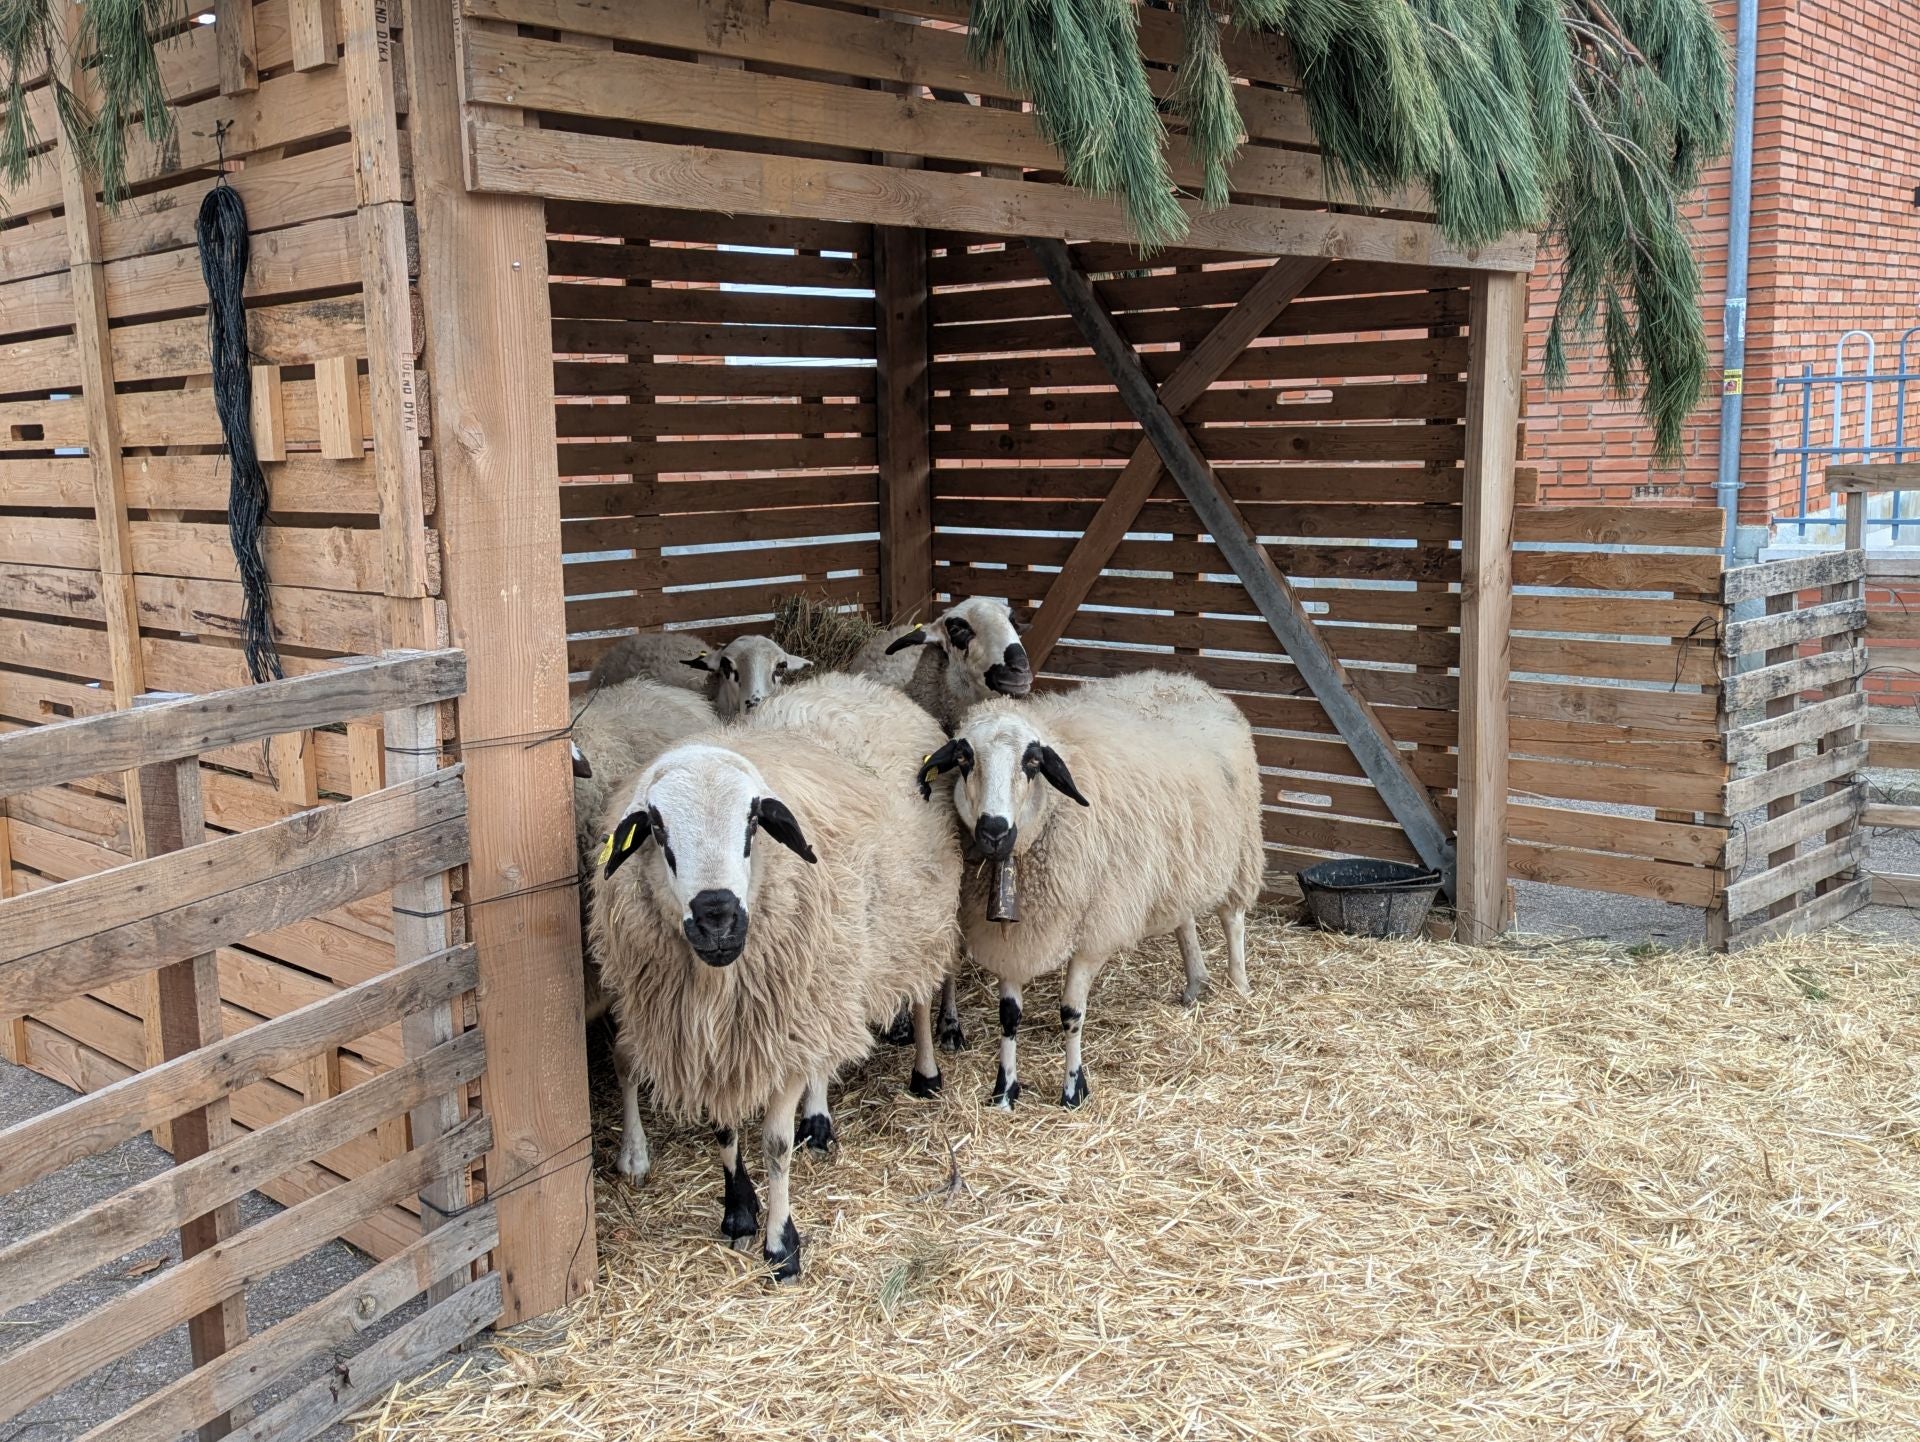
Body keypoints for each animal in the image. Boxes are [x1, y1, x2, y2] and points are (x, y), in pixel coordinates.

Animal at [587, 672, 960, 1282]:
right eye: (658, 829)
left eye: (753, 821)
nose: (717, 917)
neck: (717, 989)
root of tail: (854, 681)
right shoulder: (726, 1037)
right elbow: (725, 1127)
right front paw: (738, 1210)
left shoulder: (779, 1021)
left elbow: (775, 1144)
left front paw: (781, 1245)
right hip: (829, 969)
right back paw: (820, 1117)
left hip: (911, 924)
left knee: (923, 992)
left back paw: (924, 1073)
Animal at [917, 672, 1267, 1113]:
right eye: (964, 759)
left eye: (1033, 762)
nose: (994, 831)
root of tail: (1188, 680)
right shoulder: (1013, 938)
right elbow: (1009, 1016)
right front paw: (1005, 1091)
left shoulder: (1095, 931)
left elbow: (1072, 1013)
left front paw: (1073, 1090)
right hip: (1177, 862)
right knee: (1184, 918)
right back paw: (1194, 985)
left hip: (1240, 847)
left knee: (1232, 918)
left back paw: (1238, 986)